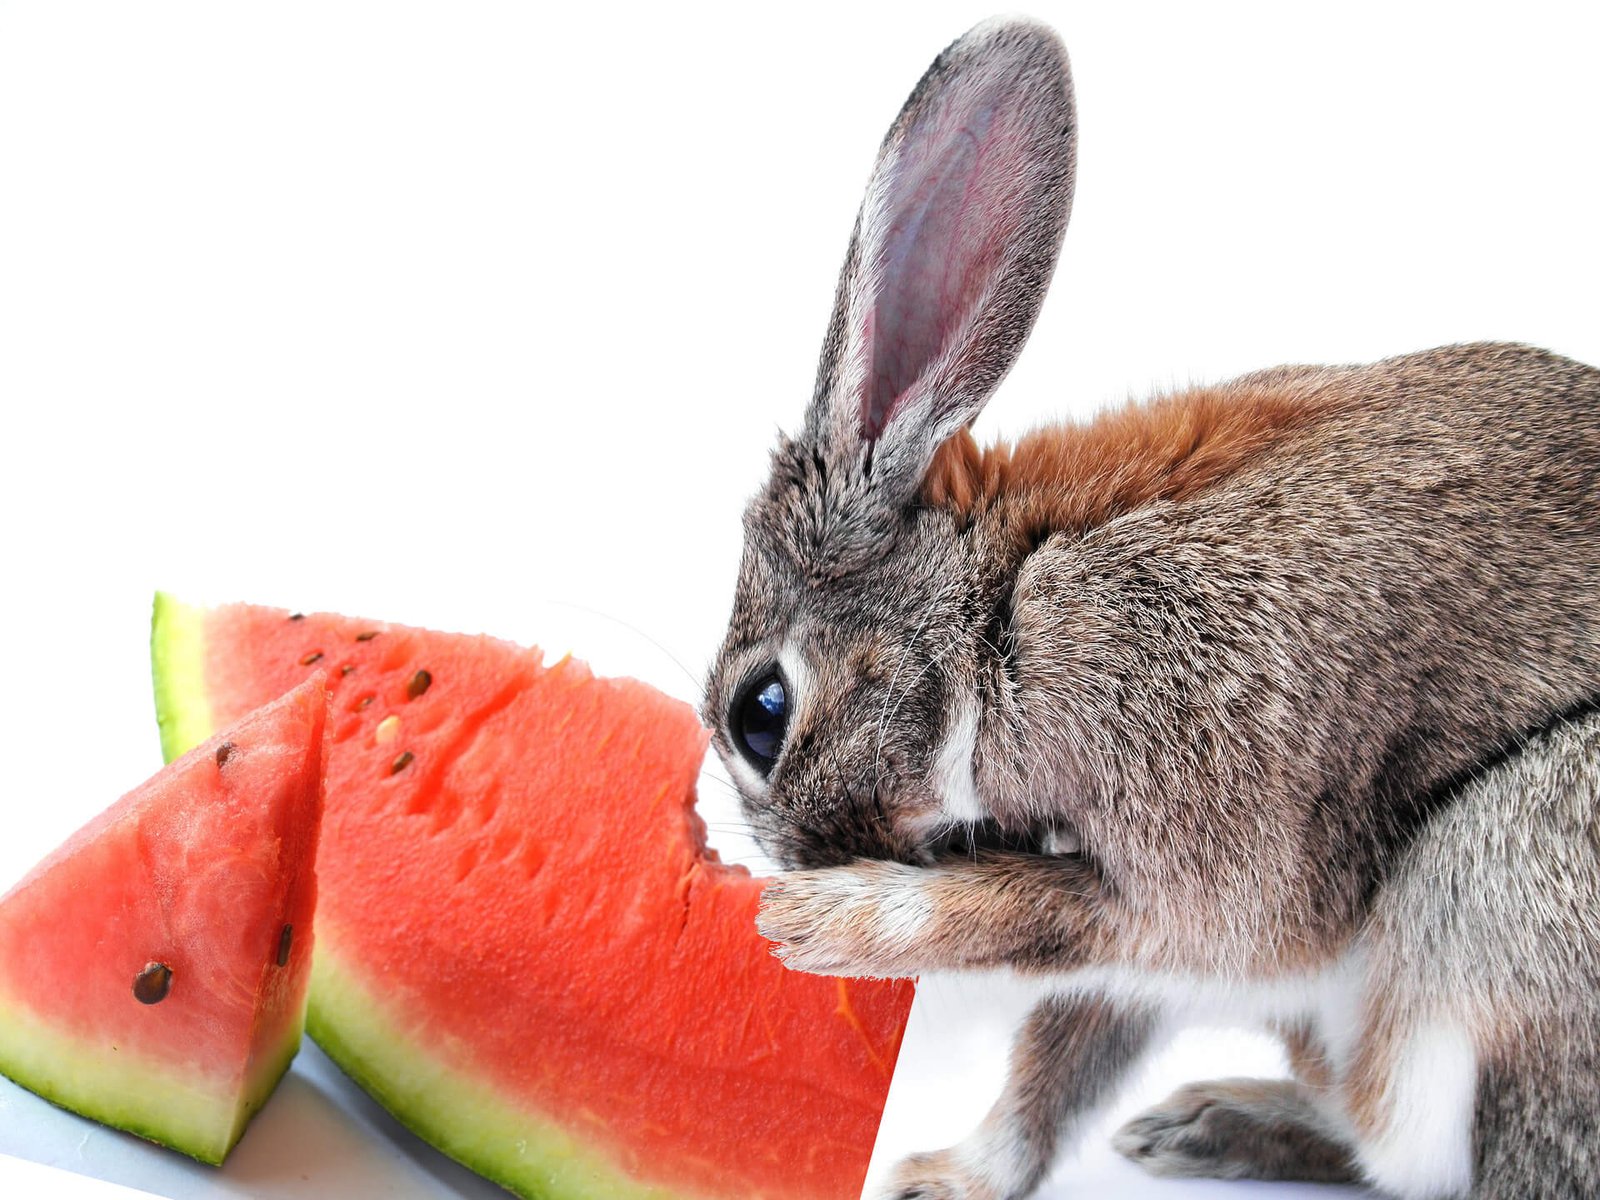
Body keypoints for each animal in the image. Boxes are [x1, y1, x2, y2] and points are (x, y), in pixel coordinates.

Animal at [707, 16, 1600, 1200]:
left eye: (760, 714)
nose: (791, 863)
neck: (997, 614)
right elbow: (1058, 1052)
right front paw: (945, 1179)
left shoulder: (1192, 877)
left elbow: (1039, 926)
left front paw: (822, 925)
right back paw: (1203, 1124)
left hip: (1501, 870)